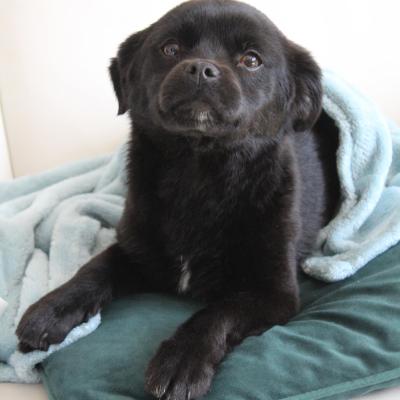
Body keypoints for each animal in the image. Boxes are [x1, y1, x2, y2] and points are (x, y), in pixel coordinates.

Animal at [16, 0, 340, 398]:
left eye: (251, 60)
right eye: (170, 49)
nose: (201, 69)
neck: (199, 173)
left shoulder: (272, 293)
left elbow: (218, 313)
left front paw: (182, 360)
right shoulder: (135, 250)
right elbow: (93, 269)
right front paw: (50, 309)